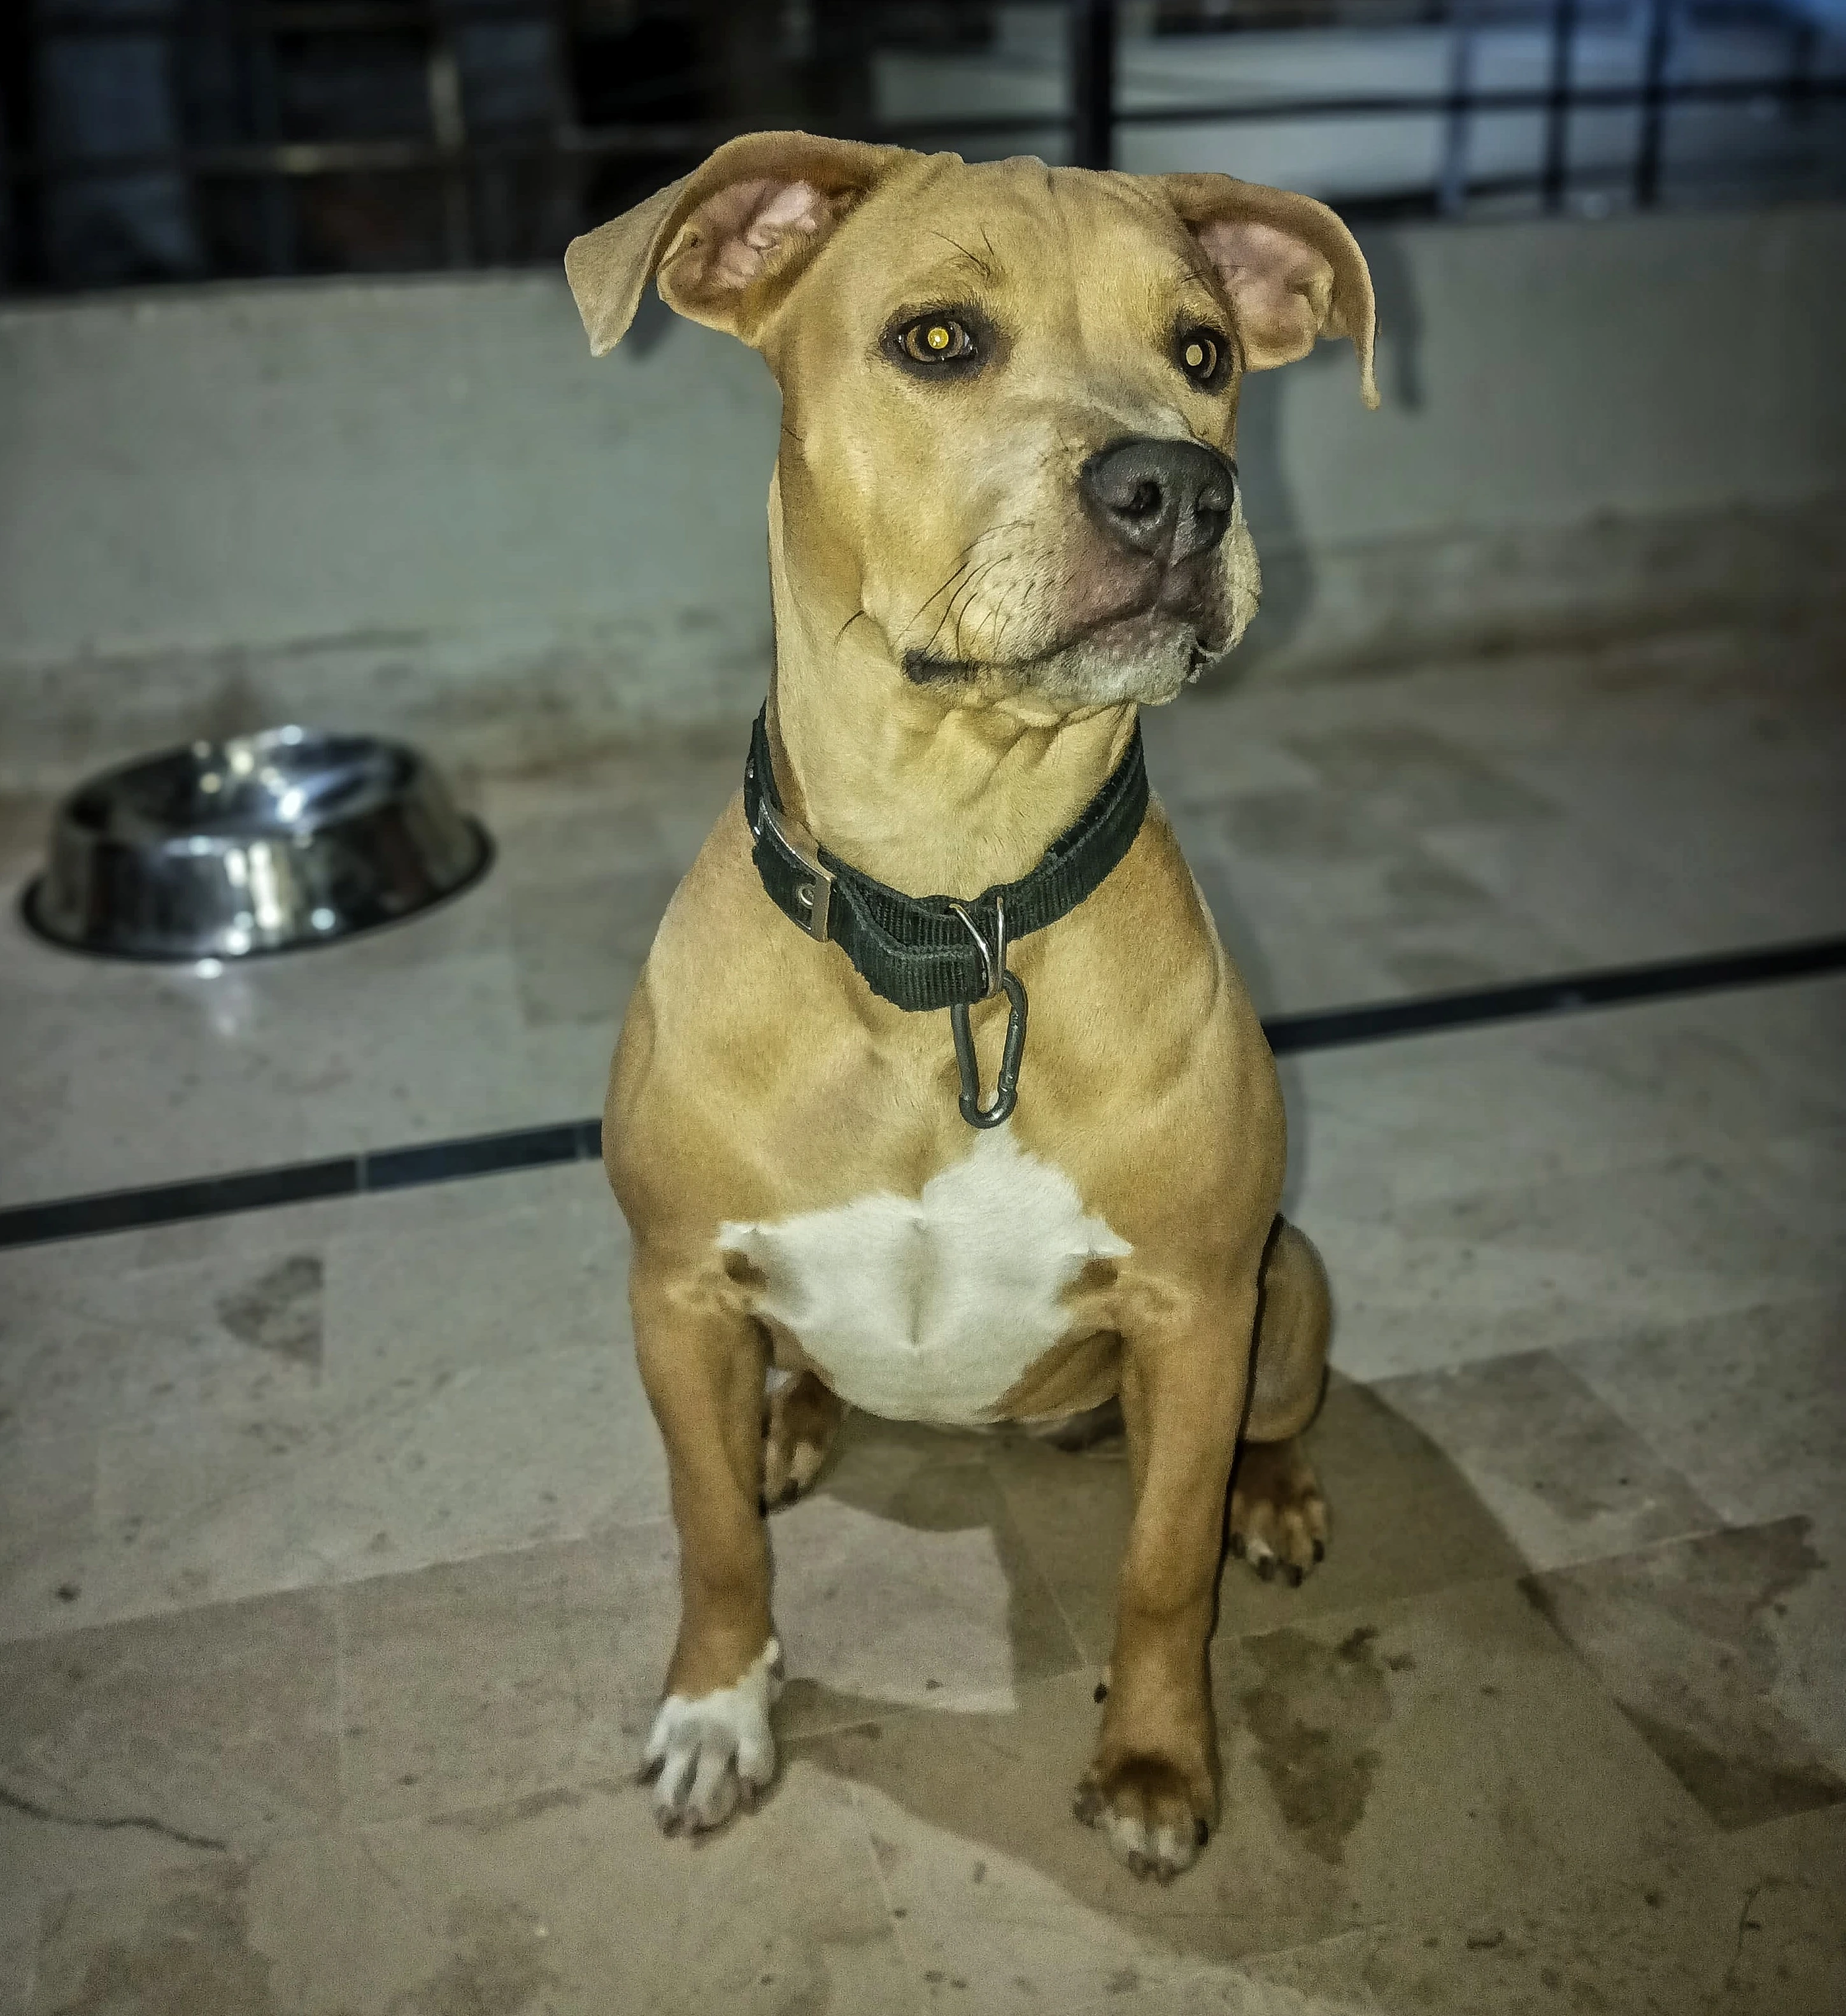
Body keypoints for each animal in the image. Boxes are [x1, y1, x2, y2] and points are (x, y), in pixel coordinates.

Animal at [568, 134, 1378, 1878]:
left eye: (1203, 350)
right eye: (937, 340)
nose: (1179, 488)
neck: (951, 914)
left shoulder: (1198, 1307)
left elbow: (1162, 1569)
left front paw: (1156, 1763)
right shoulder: (675, 1289)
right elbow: (709, 1531)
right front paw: (718, 1705)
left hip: (1290, 1289)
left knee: (1269, 1429)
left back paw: (1276, 1496)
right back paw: (791, 1420)